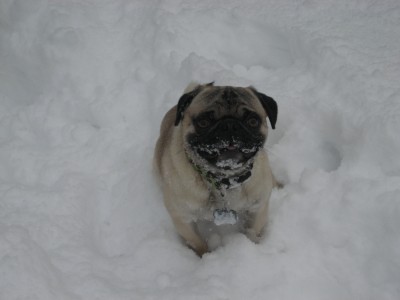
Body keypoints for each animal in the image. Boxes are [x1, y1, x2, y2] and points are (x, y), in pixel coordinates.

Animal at [155, 83, 280, 256]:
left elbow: (252, 232)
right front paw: (204, 256)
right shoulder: (183, 218)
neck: (224, 179)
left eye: (252, 121)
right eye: (203, 122)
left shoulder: (257, 209)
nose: (229, 125)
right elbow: (197, 242)